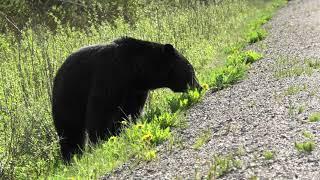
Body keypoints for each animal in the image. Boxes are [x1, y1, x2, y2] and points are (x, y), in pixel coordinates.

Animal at [52, 36, 202, 162]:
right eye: (190, 69)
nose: (199, 86)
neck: (135, 70)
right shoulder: (109, 77)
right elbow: (100, 112)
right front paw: (101, 141)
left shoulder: (135, 91)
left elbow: (129, 111)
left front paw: (120, 132)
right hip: (68, 99)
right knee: (70, 131)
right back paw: (72, 157)